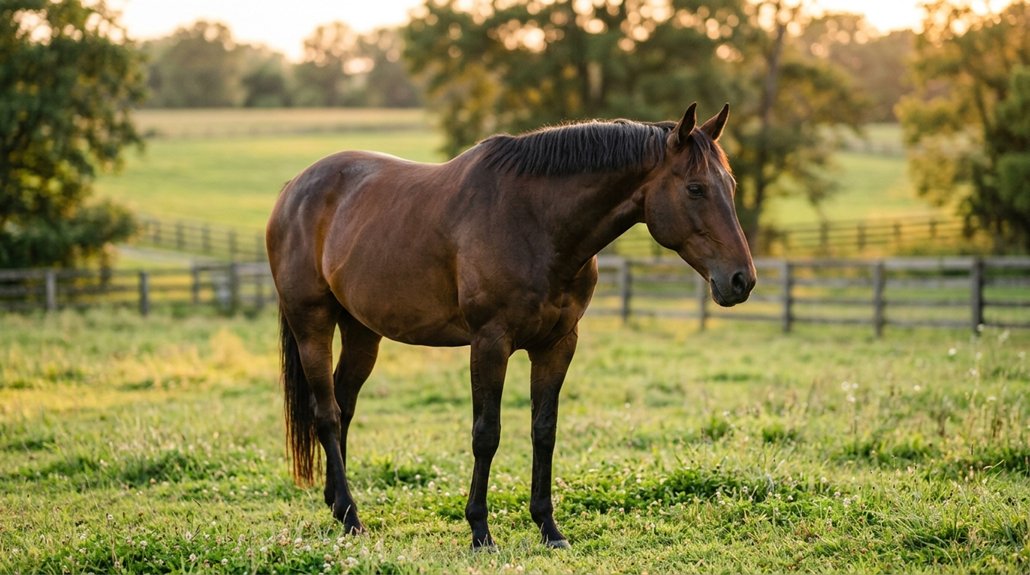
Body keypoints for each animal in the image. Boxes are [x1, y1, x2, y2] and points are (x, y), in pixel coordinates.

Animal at [266, 103, 756, 550]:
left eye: (729, 185)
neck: (536, 222)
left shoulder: (558, 344)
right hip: (311, 323)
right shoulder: (490, 342)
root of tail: (293, 190)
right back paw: (352, 517)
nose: (741, 280)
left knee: (344, 403)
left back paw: (337, 504)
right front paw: (480, 531)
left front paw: (548, 528)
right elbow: (487, 433)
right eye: (695, 188)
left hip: (362, 330)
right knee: (327, 413)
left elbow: (544, 430)